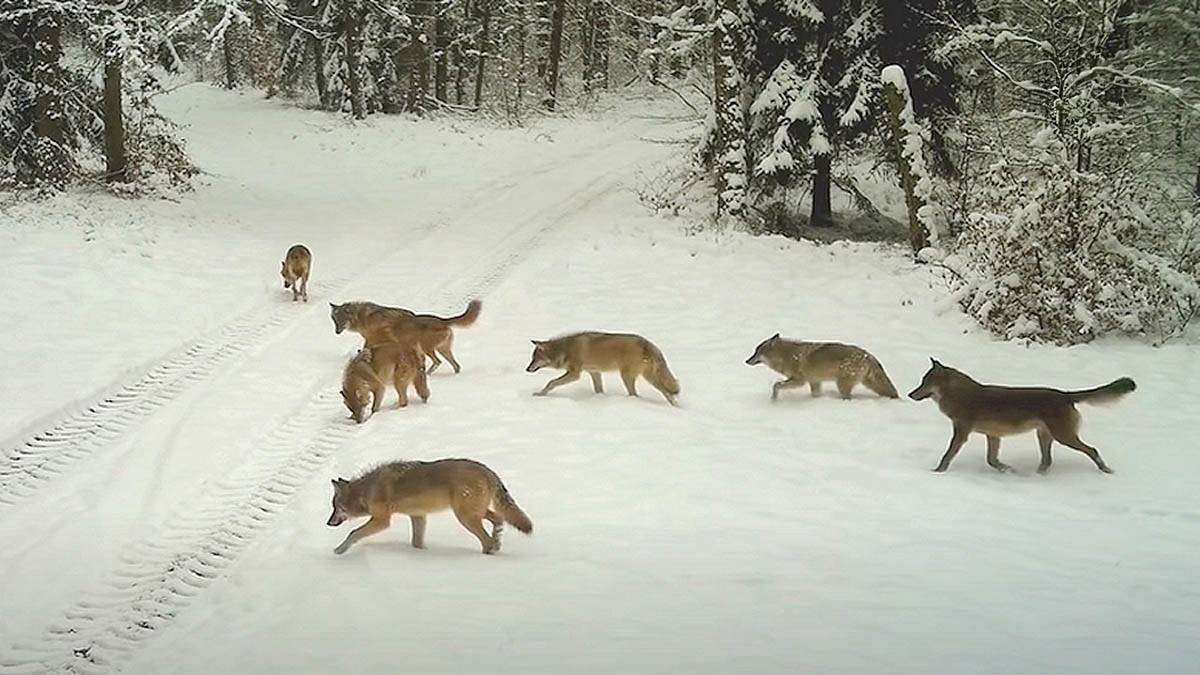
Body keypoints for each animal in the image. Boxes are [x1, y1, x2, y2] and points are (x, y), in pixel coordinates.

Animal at [328, 454, 535, 554]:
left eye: (335, 507)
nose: (328, 523)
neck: (367, 490)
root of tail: (487, 470)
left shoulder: (381, 521)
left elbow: (353, 533)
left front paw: (339, 550)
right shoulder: (418, 516)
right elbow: (416, 543)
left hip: (465, 517)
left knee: (487, 539)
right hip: (474, 512)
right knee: (498, 519)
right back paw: (497, 541)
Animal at [331, 297, 480, 372]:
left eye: (341, 320)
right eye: (334, 320)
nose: (336, 332)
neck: (364, 318)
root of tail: (443, 320)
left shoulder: (373, 339)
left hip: (427, 348)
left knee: (437, 362)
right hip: (439, 349)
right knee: (456, 366)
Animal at [528, 331, 686, 403]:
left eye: (534, 359)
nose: (526, 369)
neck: (564, 349)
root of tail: (648, 344)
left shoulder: (575, 374)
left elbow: (551, 382)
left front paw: (540, 394)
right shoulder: (595, 373)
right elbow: (599, 390)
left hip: (627, 376)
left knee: (635, 394)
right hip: (650, 378)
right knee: (668, 393)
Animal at [739, 331, 902, 398]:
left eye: (757, 352)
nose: (746, 361)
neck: (786, 356)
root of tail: (868, 355)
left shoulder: (800, 381)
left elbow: (776, 385)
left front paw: (773, 400)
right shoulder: (814, 381)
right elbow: (815, 395)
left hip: (842, 385)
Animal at [907, 357, 1132, 473]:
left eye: (924, 383)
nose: (910, 394)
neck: (959, 394)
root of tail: (1065, 395)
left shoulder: (962, 433)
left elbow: (948, 455)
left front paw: (937, 472)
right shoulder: (993, 436)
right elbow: (992, 460)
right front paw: (1007, 470)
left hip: (1063, 437)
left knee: (1092, 450)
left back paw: (1105, 470)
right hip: (1044, 436)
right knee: (1047, 461)